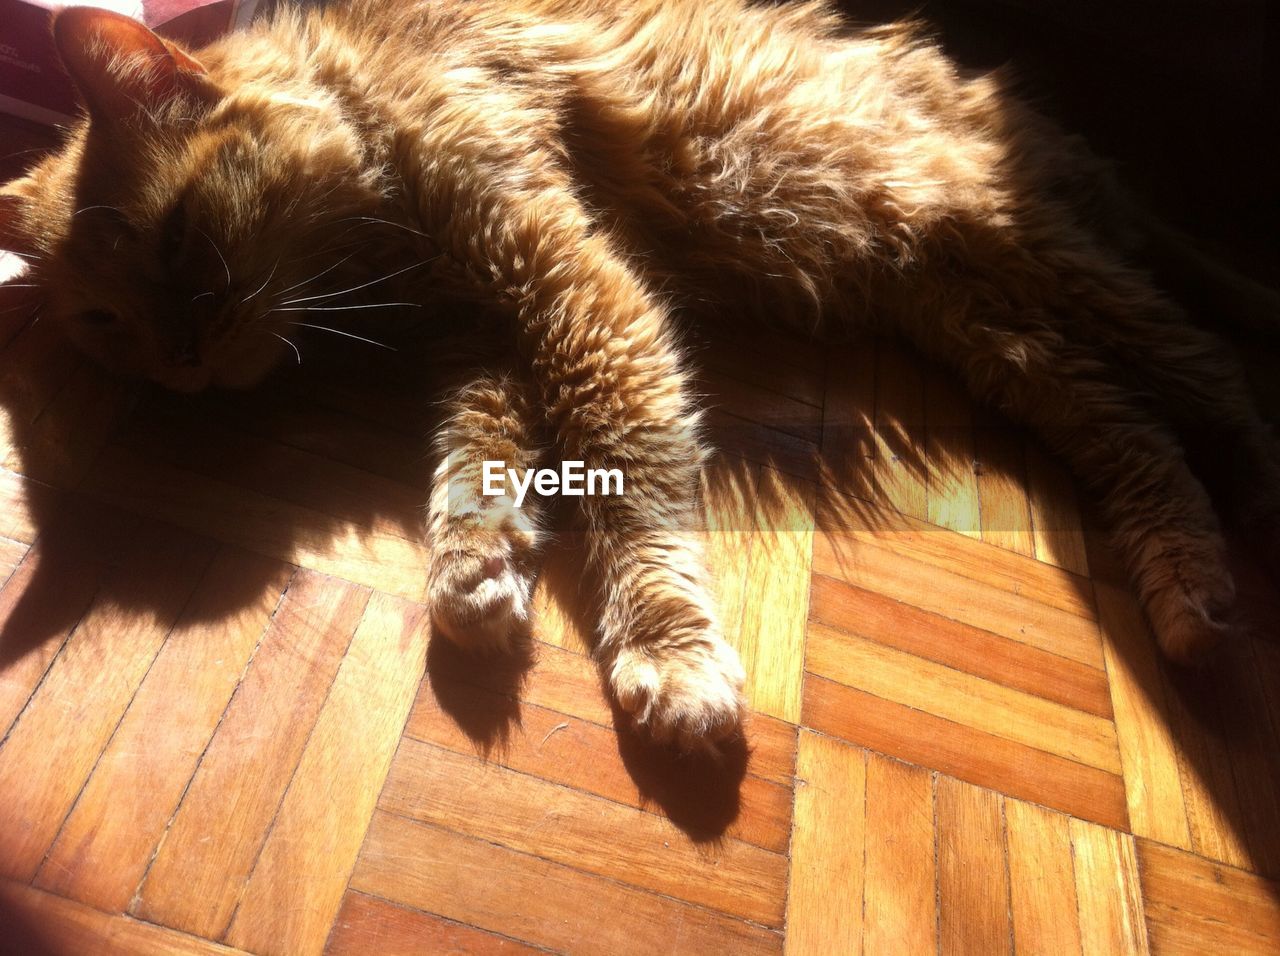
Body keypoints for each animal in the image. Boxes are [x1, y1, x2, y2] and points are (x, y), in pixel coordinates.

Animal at [2, 0, 1280, 747]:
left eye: (179, 243)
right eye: (108, 326)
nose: (180, 366)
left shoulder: (567, 280)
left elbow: (623, 472)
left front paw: (667, 648)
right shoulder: (496, 336)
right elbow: (477, 460)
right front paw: (474, 570)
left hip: (1001, 241)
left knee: (1212, 376)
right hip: (984, 321)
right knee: (1130, 425)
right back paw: (1188, 594)